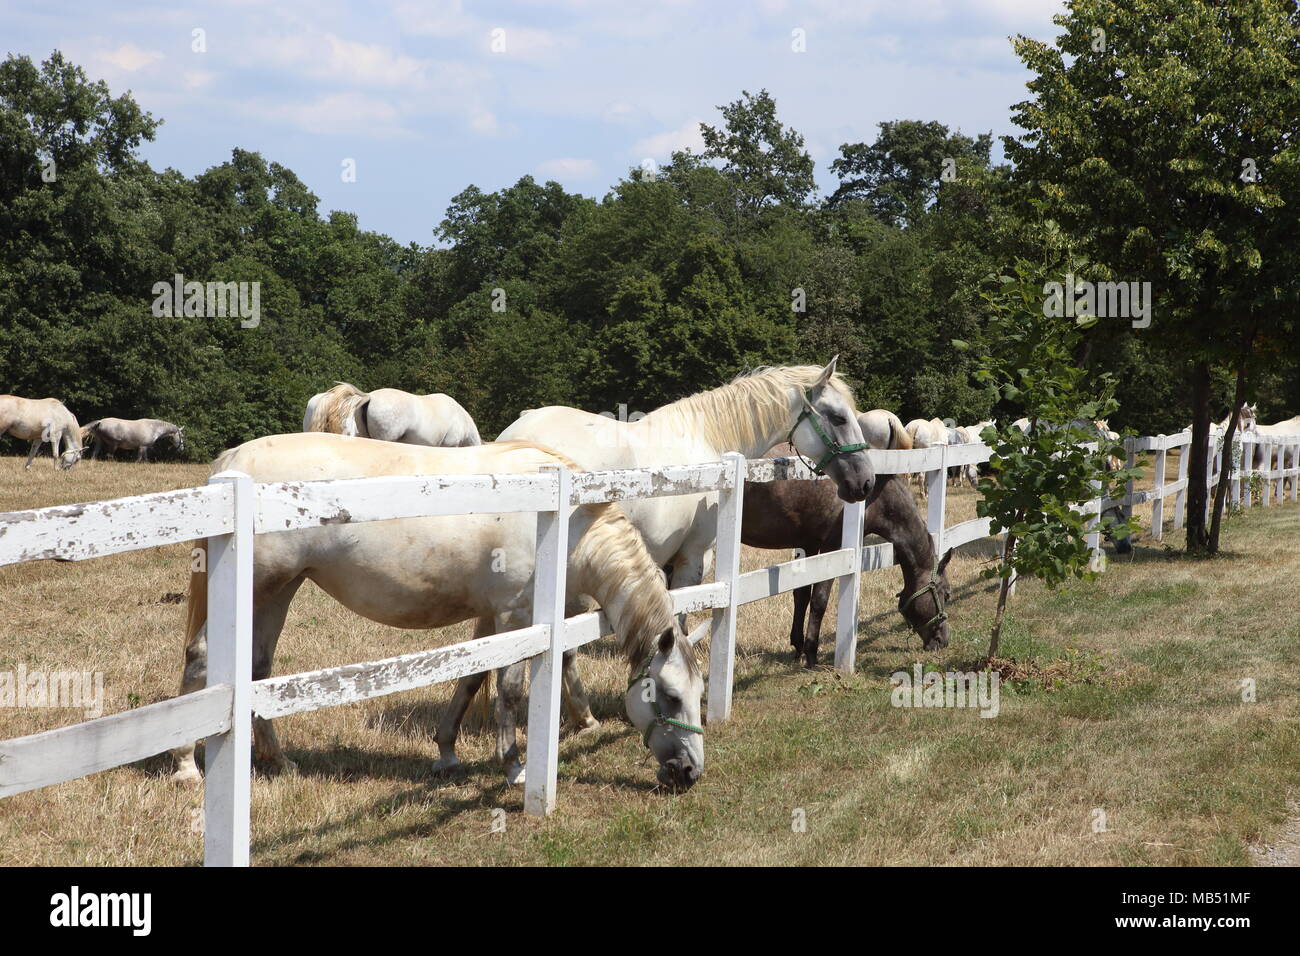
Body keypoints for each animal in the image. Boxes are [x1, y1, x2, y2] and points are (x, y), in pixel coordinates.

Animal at [171, 434, 705, 792]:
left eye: (698, 695)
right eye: (671, 697)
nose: (690, 771)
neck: (563, 523)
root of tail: (233, 463)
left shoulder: (493, 618)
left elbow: (470, 679)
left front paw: (446, 752)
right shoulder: (516, 615)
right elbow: (508, 691)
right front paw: (513, 766)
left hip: (279, 590)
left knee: (258, 667)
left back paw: (280, 763)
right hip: (260, 587)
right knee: (200, 657)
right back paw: (185, 766)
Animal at [741, 456, 952, 667]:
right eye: (947, 594)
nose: (942, 641)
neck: (874, 498)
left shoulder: (808, 544)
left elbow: (801, 596)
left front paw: (798, 646)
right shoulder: (831, 548)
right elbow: (819, 600)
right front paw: (811, 653)